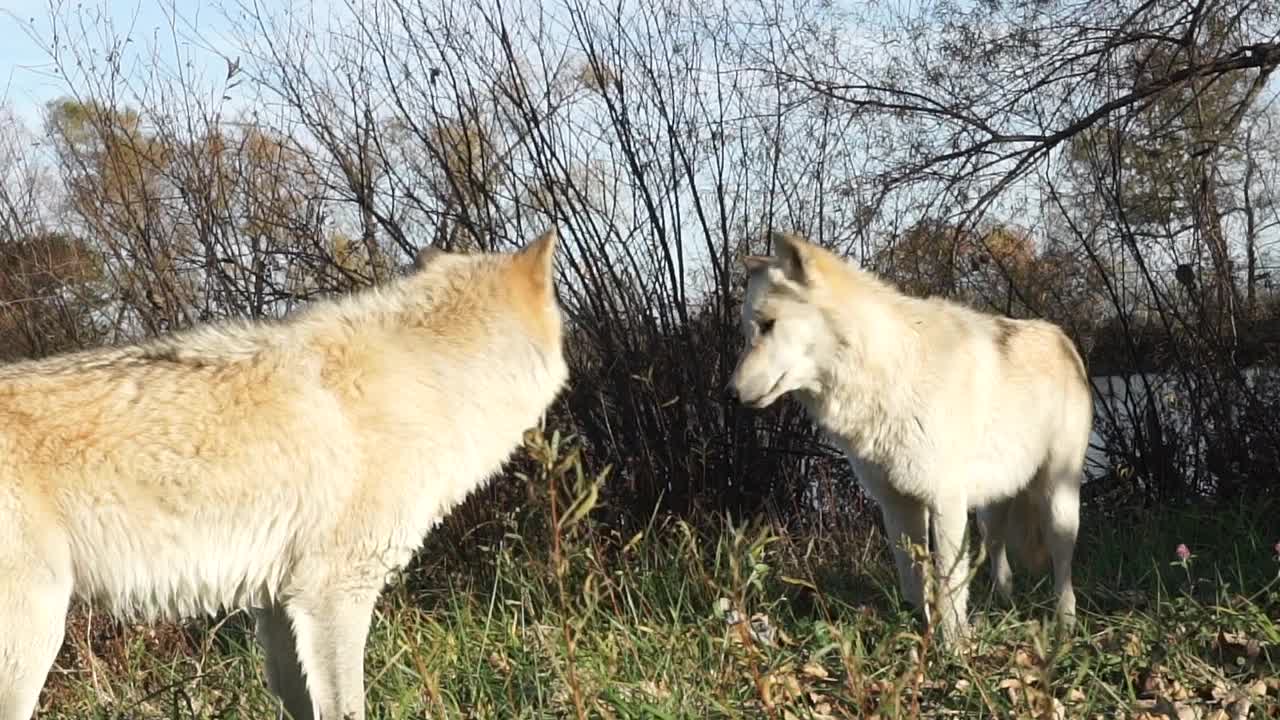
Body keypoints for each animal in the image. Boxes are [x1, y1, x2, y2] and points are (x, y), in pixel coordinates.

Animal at [732, 230, 1090, 645]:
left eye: (768, 325)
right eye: (747, 333)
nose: (729, 393)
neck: (885, 372)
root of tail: (1064, 340)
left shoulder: (945, 502)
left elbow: (948, 588)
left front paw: (953, 648)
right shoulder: (897, 504)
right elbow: (914, 580)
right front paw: (920, 637)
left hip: (1058, 502)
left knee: (1063, 570)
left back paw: (1065, 626)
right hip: (992, 509)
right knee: (999, 558)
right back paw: (1000, 605)